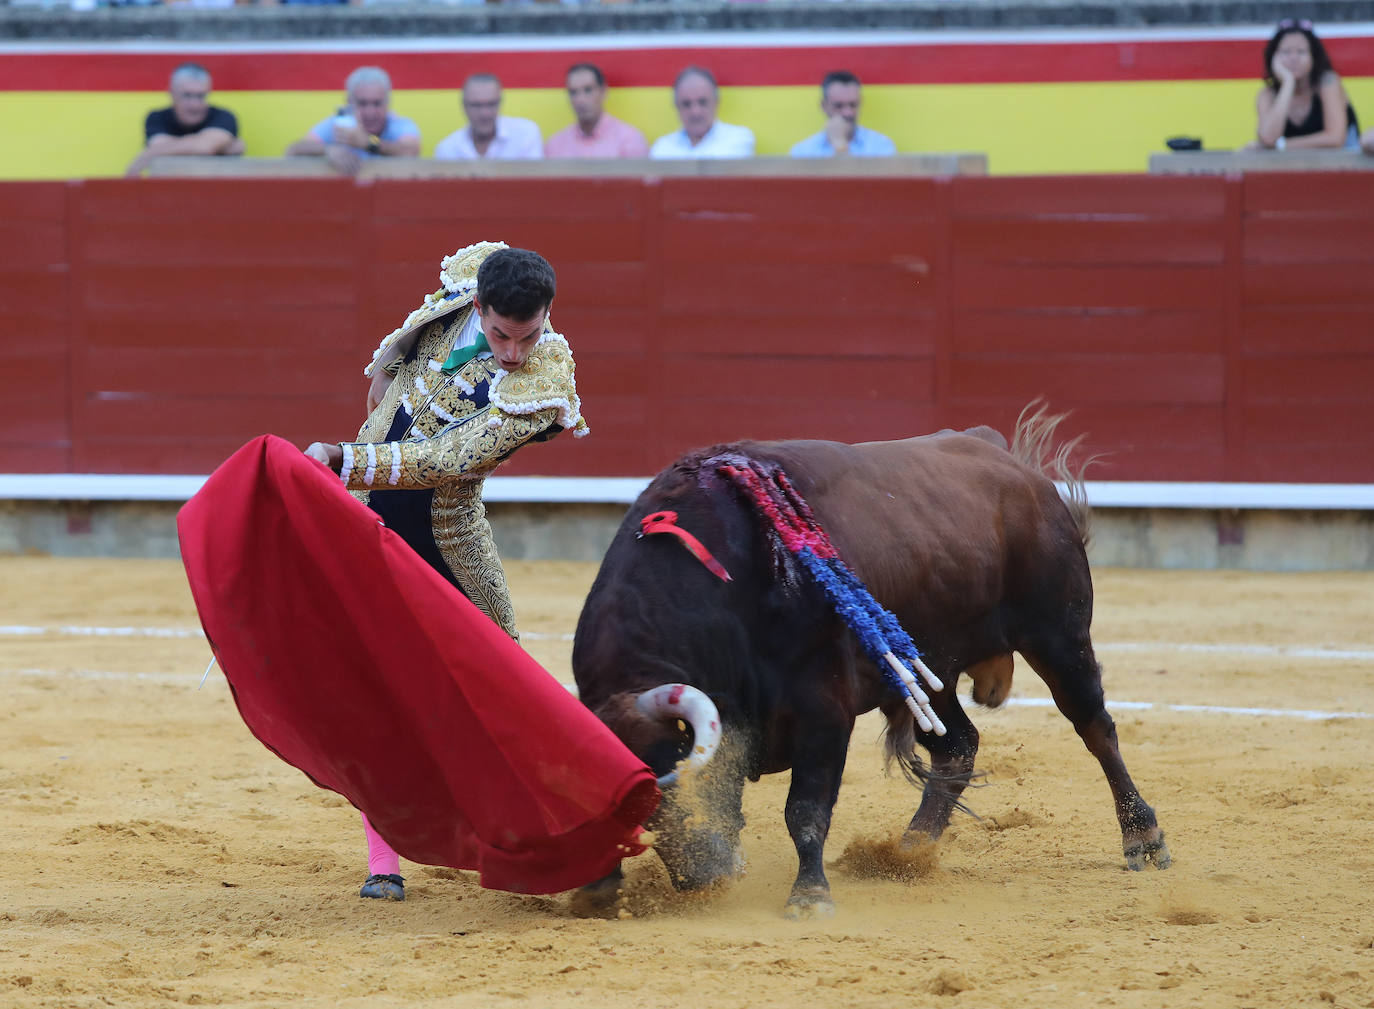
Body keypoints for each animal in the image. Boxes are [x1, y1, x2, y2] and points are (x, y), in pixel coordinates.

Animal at [568, 406, 1170, 918]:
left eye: (678, 773)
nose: (704, 878)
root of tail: (1006, 460)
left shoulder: (824, 710)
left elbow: (805, 810)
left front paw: (809, 897)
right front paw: (595, 889)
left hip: (1059, 634)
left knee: (1095, 727)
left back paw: (1142, 837)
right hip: (929, 670)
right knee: (958, 745)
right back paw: (908, 852)